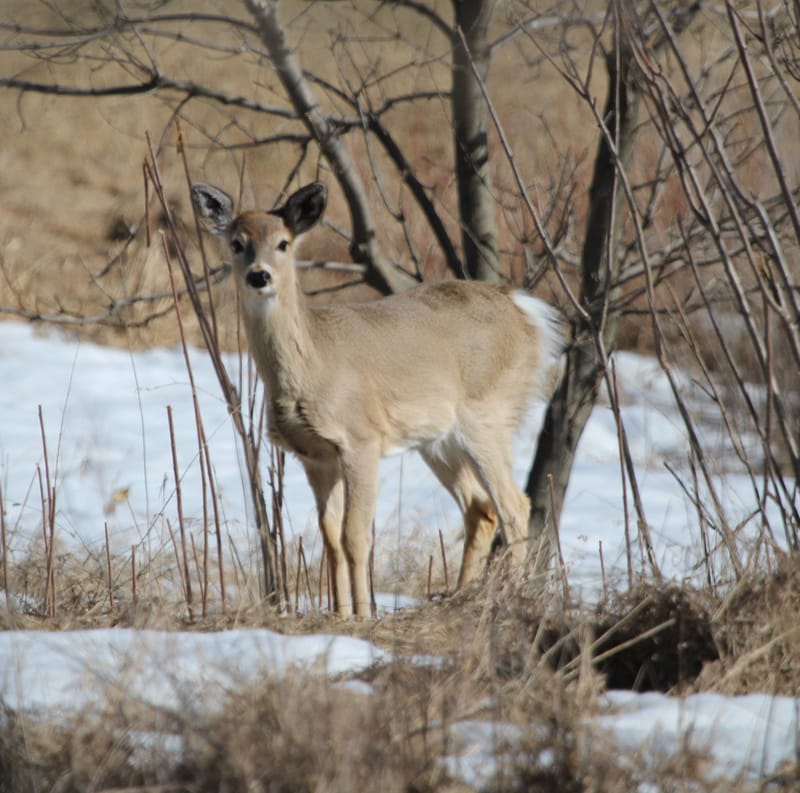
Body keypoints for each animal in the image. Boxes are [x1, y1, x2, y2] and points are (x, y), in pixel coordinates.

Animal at [192, 180, 560, 617]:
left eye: (283, 243)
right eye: (237, 243)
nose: (259, 275)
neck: (313, 365)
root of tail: (527, 311)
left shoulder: (362, 439)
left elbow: (354, 535)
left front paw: (363, 614)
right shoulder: (315, 457)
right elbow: (330, 536)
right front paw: (339, 612)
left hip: (488, 412)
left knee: (515, 506)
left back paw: (506, 600)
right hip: (438, 440)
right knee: (481, 508)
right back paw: (459, 596)